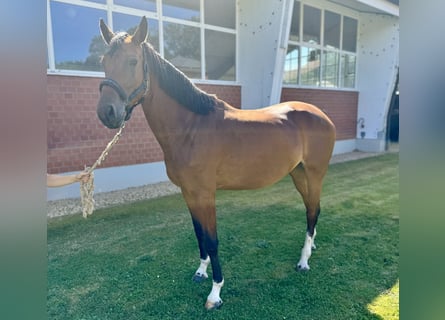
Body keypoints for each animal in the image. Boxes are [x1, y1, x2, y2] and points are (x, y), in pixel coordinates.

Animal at [95, 16, 334, 308]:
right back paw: (311, 247)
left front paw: (216, 292)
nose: (107, 113)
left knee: (313, 211)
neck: (192, 127)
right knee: (313, 209)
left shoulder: (205, 193)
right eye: (103, 62)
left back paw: (303, 261)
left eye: (132, 61)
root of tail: (321, 115)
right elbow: (199, 234)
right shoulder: (189, 193)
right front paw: (200, 271)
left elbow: (211, 239)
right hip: (298, 174)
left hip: (314, 174)